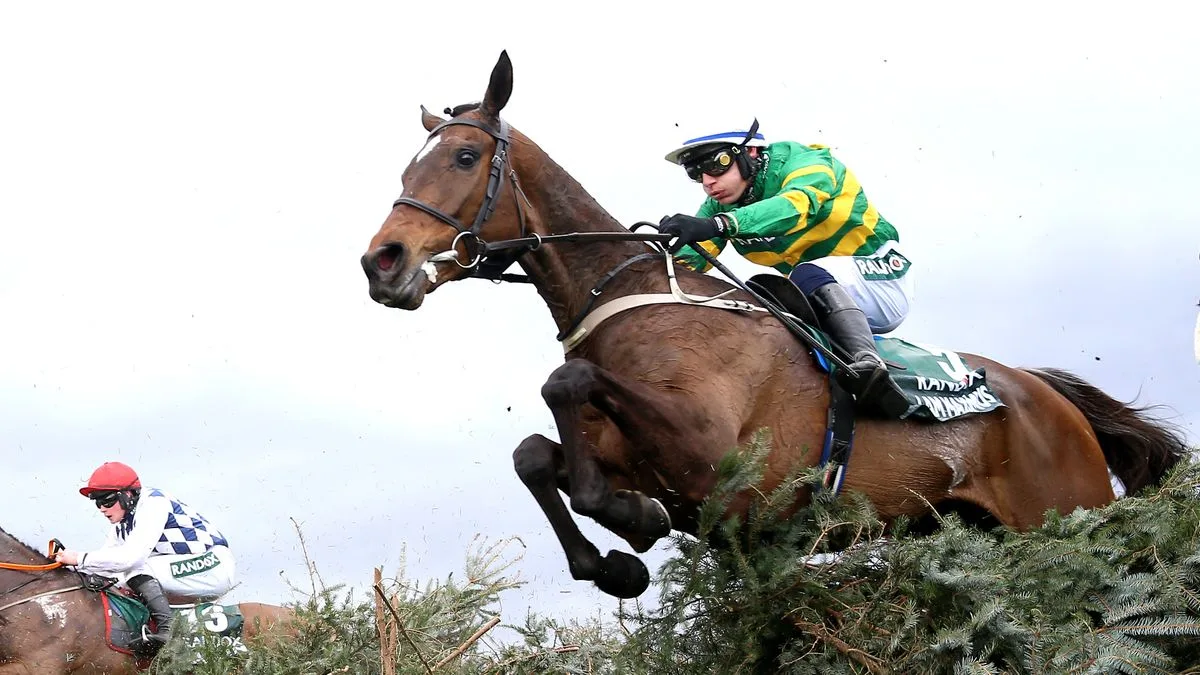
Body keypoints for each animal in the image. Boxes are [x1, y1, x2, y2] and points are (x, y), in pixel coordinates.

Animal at [360, 51, 1190, 600]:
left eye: (465, 156)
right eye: (405, 169)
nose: (381, 262)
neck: (632, 294)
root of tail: (1051, 399)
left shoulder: (709, 457)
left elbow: (569, 378)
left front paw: (630, 523)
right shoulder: (633, 457)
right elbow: (535, 454)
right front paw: (619, 554)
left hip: (1066, 509)